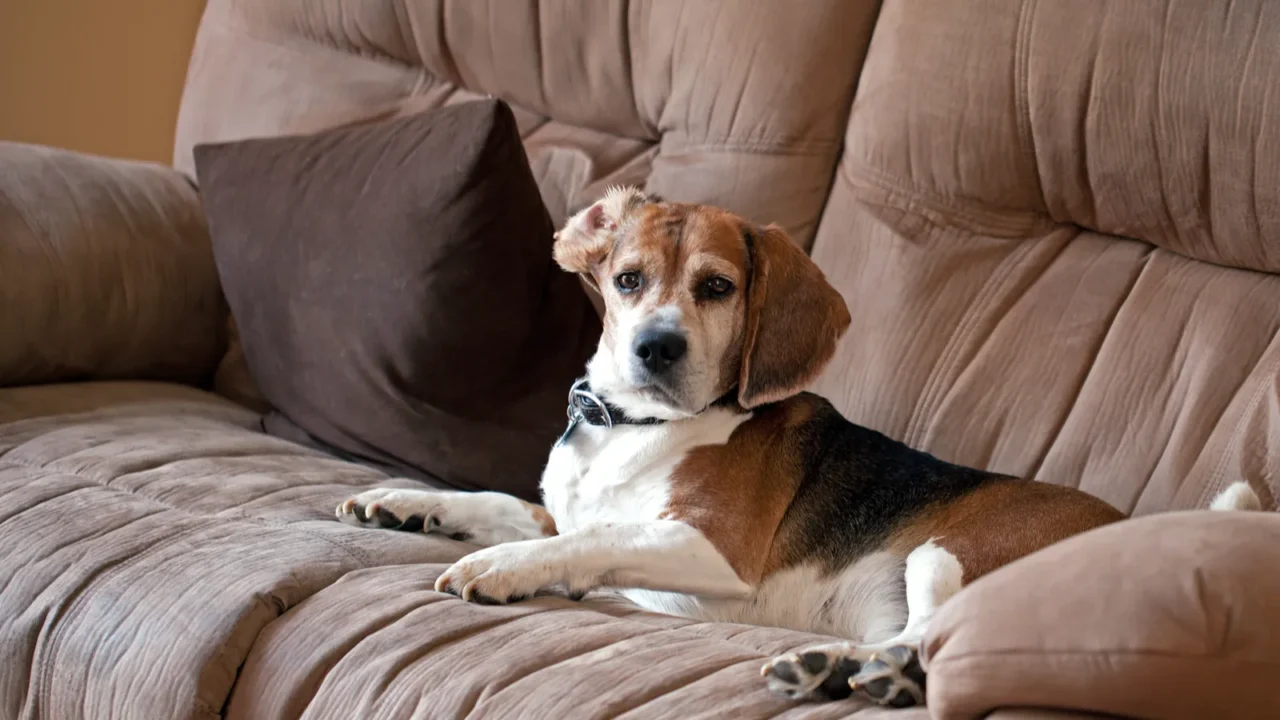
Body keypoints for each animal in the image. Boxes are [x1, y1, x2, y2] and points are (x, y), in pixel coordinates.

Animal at [335, 185, 1264, 707]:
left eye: (717, 287)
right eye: (629, 279)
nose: (658, 347)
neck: (632, 428)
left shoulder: (712, 550)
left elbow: (593, 541)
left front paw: (500, 570)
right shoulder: (562, 509)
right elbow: (509, 506)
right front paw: (403, 504)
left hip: (945, 548)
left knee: (940, 634)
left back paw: (859, 673)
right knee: (910, 639)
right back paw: (832, 669)